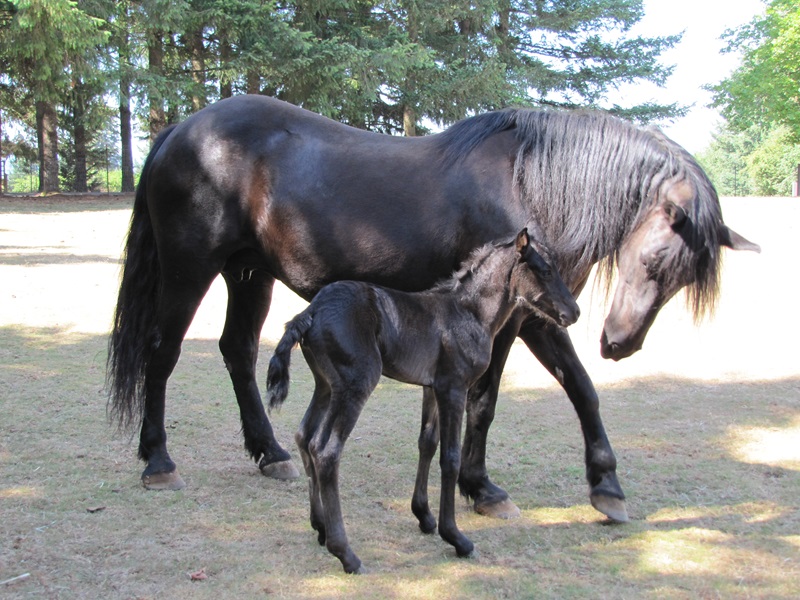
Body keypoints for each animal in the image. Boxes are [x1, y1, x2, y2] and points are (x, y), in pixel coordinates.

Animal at [107, 95, 759, 523]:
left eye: (680, 280)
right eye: (653, 261)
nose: (619, 343)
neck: (527, 183)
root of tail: (182, 129)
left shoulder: (530, 317)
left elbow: (580, 389)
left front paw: (607, 486)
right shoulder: (513, 322)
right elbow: (489, 400)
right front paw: (481, 488)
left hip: (249, 275)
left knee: (238, 352)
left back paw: (271, 454)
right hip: (190, 270)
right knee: (162, 354)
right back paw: (158, 461)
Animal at [266, 228, 580, 573]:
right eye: (546, 271)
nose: (574, 312)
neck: (469, 313)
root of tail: (309, 312)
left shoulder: (432, 388)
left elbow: (427, 443)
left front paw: (425, 517)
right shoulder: (454, 388)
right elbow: (450, 458)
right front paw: (455, 537)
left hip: (325, 385)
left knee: (305, 437)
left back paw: (320, 528)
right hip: (355, 385)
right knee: (326, 451)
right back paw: (346, 554)